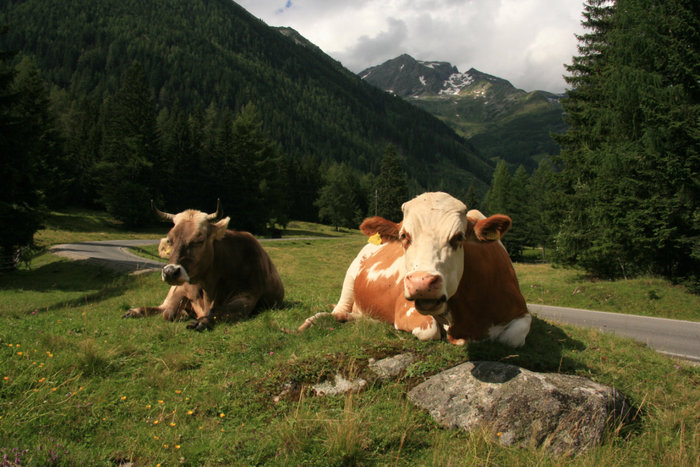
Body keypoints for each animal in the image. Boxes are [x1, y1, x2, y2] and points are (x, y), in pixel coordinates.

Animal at [123, 200, 284, 330]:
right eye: (170, 240)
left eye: (199, 240)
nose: (170, 272)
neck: (210, 288)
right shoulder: (181, 289)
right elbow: (168, 312)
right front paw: (182, 313)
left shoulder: (248, 295)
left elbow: (221, 311)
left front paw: (202, 321)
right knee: (162, 307)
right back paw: (135, 311)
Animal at [300, 191, 532, 348]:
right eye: (404, 236)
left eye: (458, 237)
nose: (422, 283)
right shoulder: (406, 308)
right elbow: (430, 331)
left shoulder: (521, 312)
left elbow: (512, 339)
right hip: (350, 275)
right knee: (337, 311)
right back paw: (312, 322)